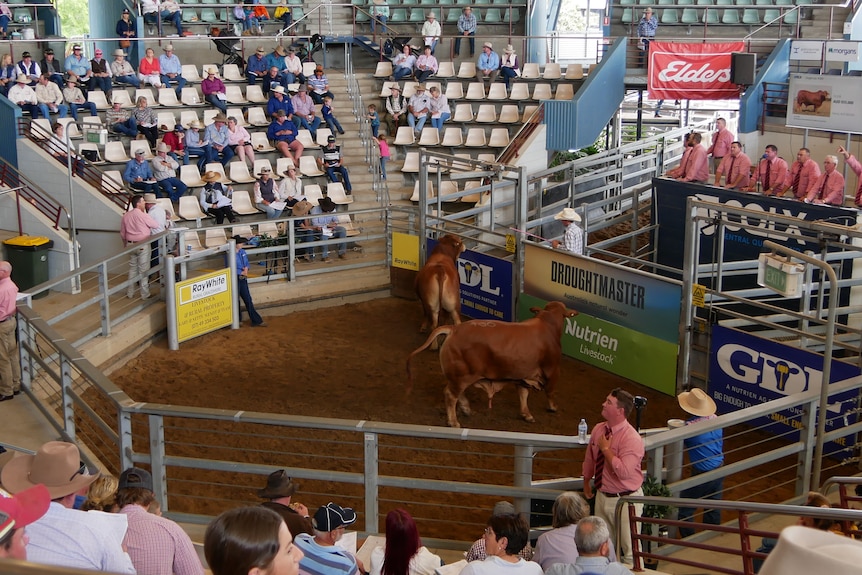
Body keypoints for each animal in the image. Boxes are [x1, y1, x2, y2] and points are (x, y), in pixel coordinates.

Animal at [406, 302, 580, 428]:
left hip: (458, 376)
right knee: (450, 394)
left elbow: (523, 393)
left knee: (455, 393)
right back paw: (454, 421)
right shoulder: (552, 370)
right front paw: (553, 407)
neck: (548, 326)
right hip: (462, 376)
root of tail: (454, 329)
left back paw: (466, 409)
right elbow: (550, 391)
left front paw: (526, 414)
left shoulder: (523, 374)